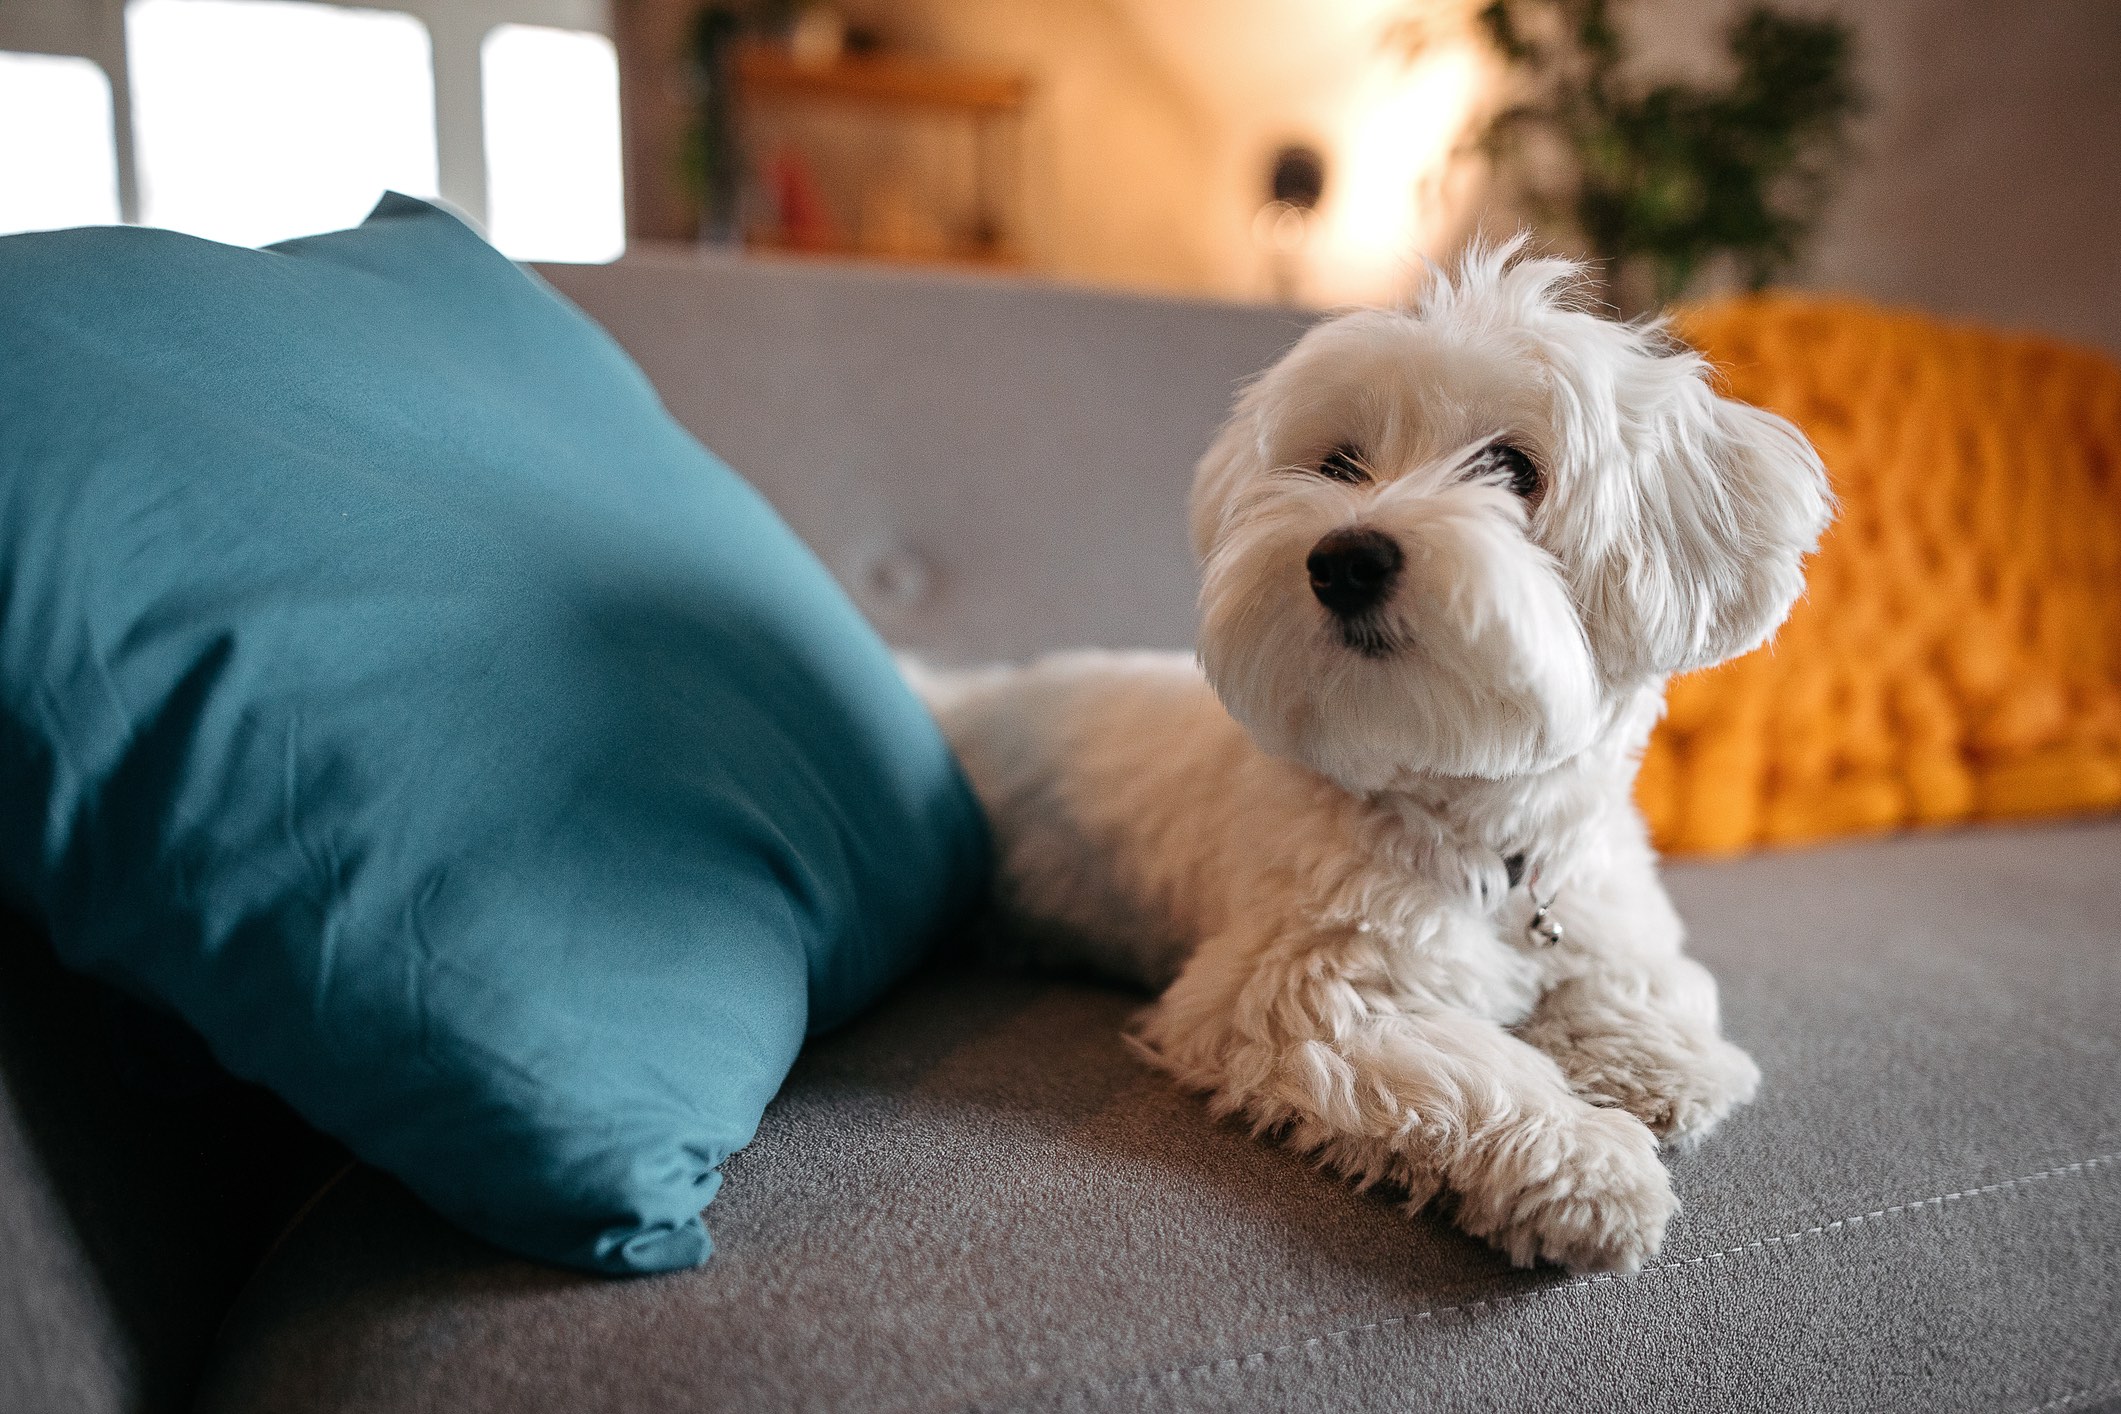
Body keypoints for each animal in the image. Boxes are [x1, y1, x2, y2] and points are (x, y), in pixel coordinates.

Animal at [920, 240, 1832, 1271]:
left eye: (1512, 467)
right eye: (1339, 463)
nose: (1344, 558)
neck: (1480, 832)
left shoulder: (1601, 902)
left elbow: (1640, 978)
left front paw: (1655, 1059)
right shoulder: (1297, 998)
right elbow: (1475, 1075)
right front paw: (1587, 1167)